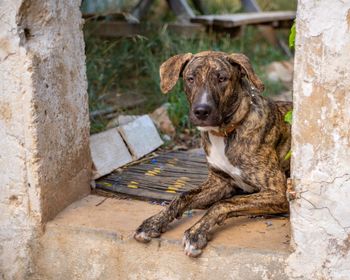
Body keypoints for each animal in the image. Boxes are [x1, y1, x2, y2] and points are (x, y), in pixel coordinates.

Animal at [133, 51, 292, 258]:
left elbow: (223, 204)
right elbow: (182, 196)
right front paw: (154, 222)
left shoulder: (277, 192)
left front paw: (196, 232)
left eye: (222, 78)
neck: (224, 133)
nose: (201, 111)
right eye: (190, 79)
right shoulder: (220, 183)